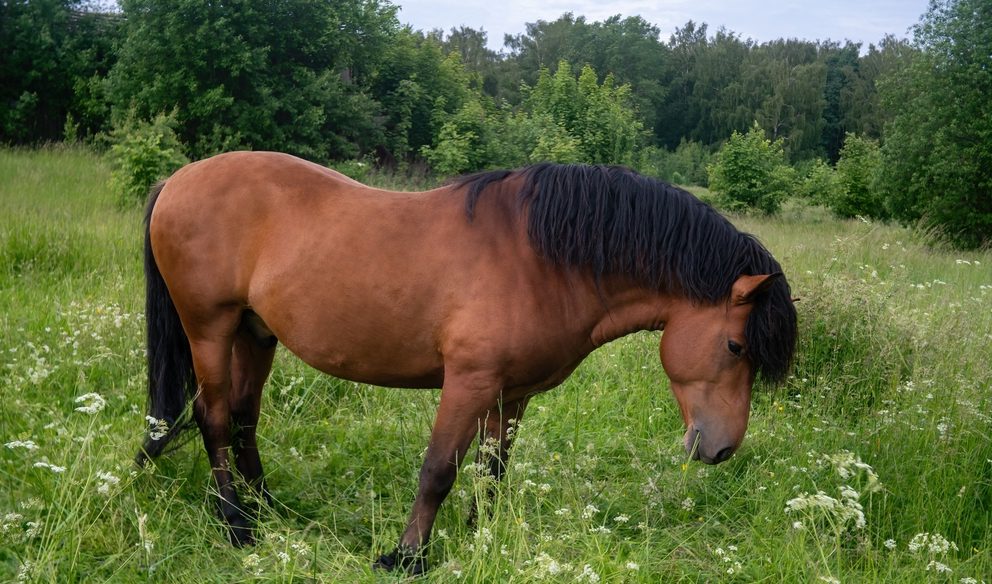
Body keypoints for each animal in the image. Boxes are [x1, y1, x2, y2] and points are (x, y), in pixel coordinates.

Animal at [136, 151, 797, 574]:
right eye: (736, 347)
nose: (721, 449)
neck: (542, 258)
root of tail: (178, 179)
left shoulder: (513, 394)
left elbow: (491, 471)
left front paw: (484, 539)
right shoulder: (469, 383)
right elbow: (438, 471)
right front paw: (406, 558)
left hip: (256, 333)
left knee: (243, 417)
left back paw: (268, 509)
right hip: (210, 328)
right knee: (214, 417)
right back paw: (236, 526)